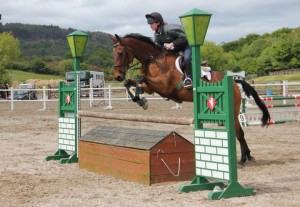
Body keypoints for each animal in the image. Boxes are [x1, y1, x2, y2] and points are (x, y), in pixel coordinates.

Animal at [108, 32, 270, 165]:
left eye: (120, 52)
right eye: (113, 53)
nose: (117, 76)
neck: (154, 60)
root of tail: (235, 82)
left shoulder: (164, 87)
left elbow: (139, 78)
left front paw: (142, 101)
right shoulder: (151, 88)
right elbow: (130, 83)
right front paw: (141, 101)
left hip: (232, 111)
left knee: (239, 133)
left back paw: (244, 158)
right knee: (238, 132)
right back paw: (247, 156)